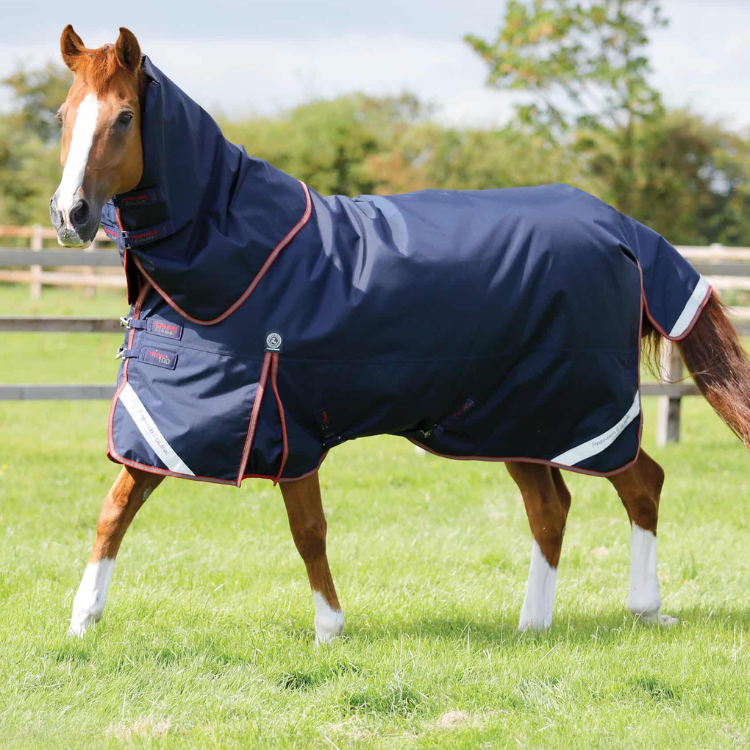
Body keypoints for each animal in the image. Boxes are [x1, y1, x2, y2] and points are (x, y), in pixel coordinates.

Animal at [51, 25, 750, 643]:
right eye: (62, 115)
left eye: (123, 117)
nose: (69, 215)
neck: (239, 256)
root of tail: (622, 227)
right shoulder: (172, 425)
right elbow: (115, 509)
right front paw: (82, 623)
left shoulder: (284, 421)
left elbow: (307, 529)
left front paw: (329, 629)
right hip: (518, 421)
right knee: (552, 509)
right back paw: (533, 624)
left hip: (577, 412)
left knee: (640, 482)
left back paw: (644, 608)